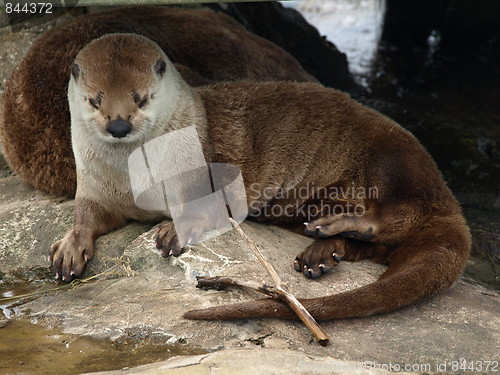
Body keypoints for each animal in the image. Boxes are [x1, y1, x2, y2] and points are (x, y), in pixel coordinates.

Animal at [48, 35, 470, 324]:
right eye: (94, 100)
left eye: (141, 97)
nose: (118, 125)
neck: (135, 178)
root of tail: (448, 203)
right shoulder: (95, 186)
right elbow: (86, 214)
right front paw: (69, 248)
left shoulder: (205, 171)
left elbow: (207, 204)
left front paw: (174, 229)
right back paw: (321, 252)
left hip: (395, 160)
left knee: (398, 213)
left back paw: (333, 228)